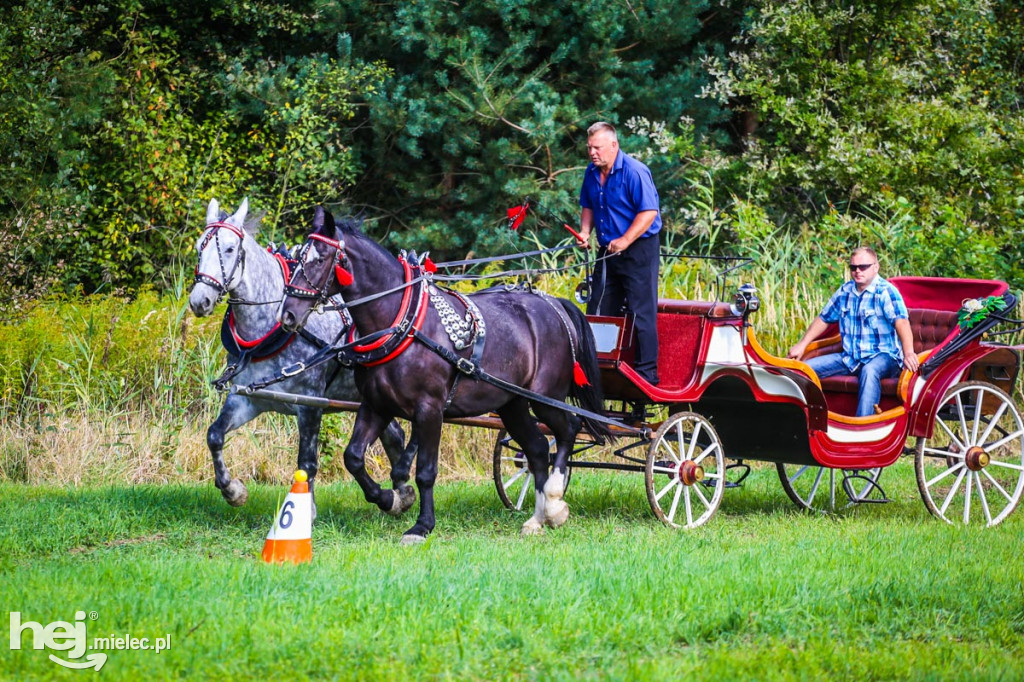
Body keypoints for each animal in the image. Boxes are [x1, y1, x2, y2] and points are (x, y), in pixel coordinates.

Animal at [188, 196, 415, 509]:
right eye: (199, 246)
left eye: (231, 248)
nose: (200, 301)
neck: (267, 330)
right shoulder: (247, 399)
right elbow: (214, 436)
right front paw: (233, 490)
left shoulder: (310, 404)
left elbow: (306, 463)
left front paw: (306, 509)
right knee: (394, 435)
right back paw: (400, 495)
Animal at [278, 204, 606, 540]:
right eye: (297, 258)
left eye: (319, 259)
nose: (287, 315)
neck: (402, 321)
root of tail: (553, 304)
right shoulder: (376, 405)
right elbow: (354, 457)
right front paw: (390, 499)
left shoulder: (430, 409)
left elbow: (425, 471)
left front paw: (422, 525)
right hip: (511, 403)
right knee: (538, 449)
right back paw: (537, 519)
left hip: (545, 397)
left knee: (569, 429)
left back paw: (554, 502)